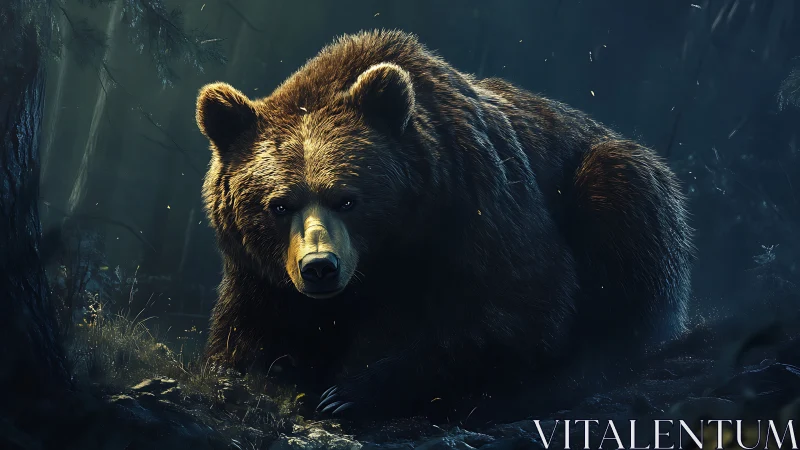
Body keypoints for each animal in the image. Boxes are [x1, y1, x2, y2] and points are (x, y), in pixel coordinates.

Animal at [194, 29, 693, 421]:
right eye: (280, 205)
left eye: (347, 200)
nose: (320, 267)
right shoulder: (257, 273)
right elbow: (245, 333)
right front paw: (244, 374)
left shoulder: (476, 207)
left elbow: (518, 307)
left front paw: (351, 391)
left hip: (621, 183)